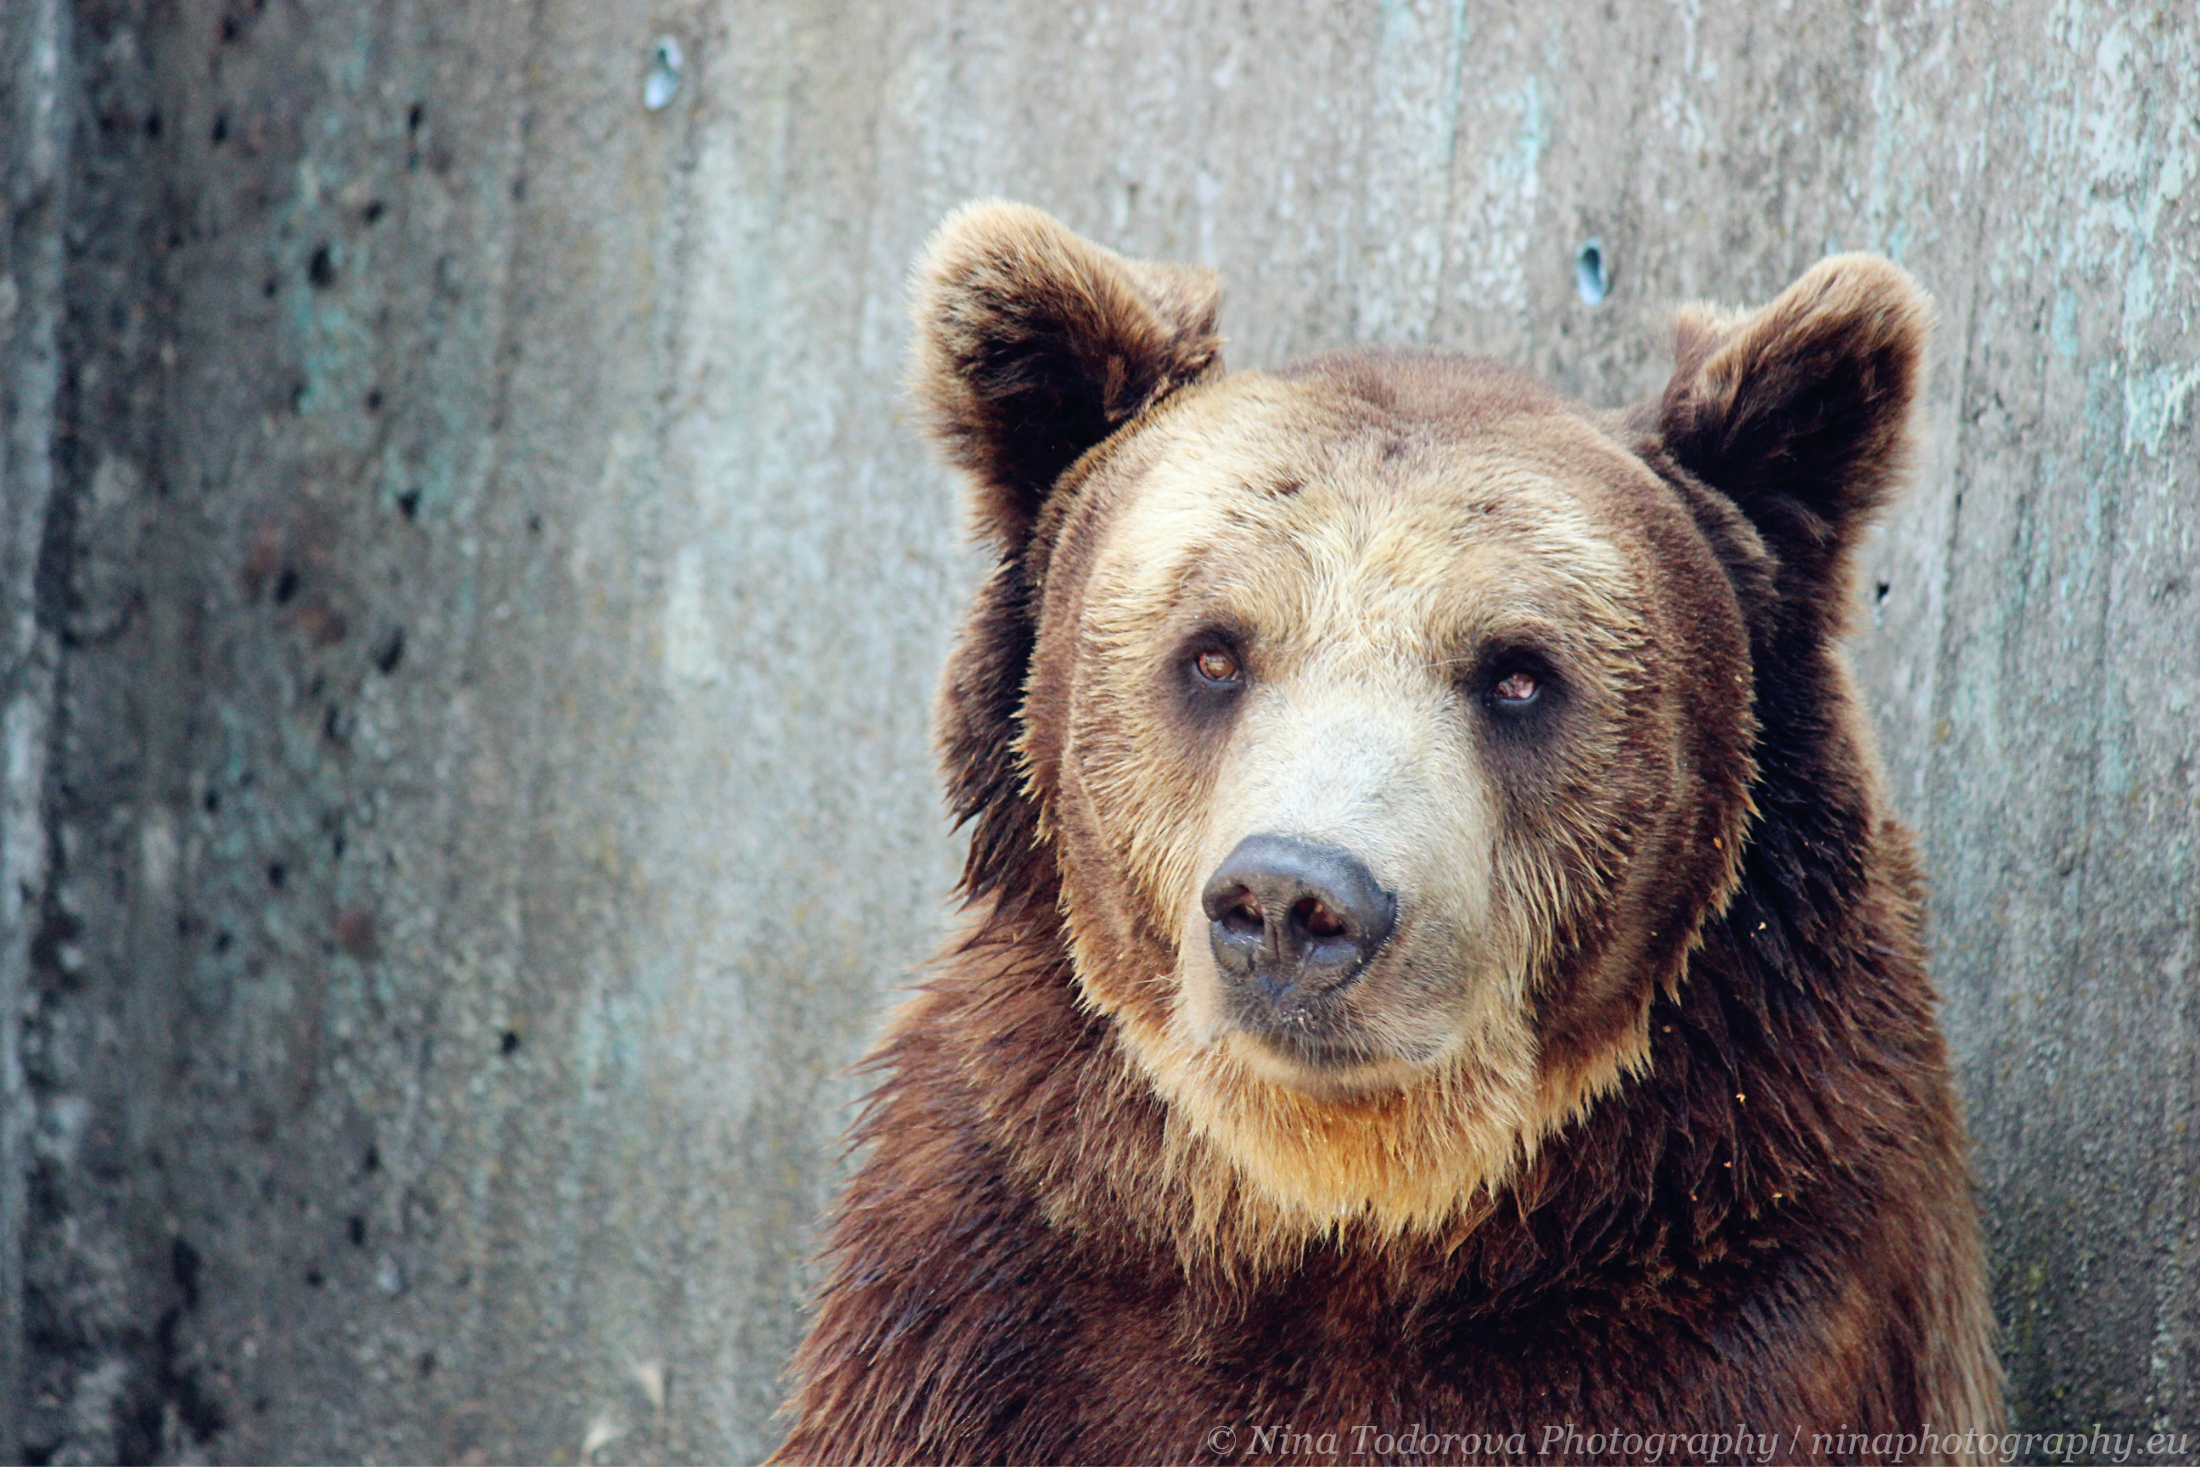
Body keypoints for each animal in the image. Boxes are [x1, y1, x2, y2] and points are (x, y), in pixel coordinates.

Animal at [770, 201, 1997, 1460]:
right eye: (1213, 651)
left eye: (1517, 673)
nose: (1292, 901)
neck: (1348, 1211)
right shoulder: (985, 1320)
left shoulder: (1755, 1315)